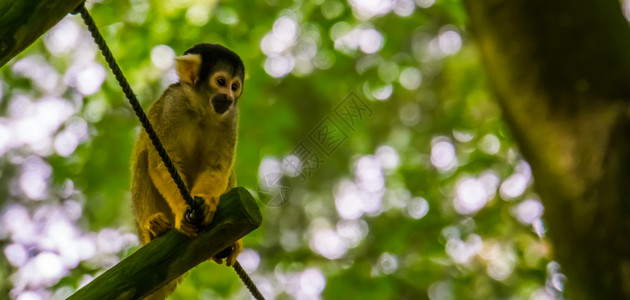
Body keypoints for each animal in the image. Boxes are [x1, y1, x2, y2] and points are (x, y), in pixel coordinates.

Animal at [131, 43, 244, 298]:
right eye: (221, 82)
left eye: (235, 86)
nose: (229, 97)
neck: (201, 108)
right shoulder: (174, 104)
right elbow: (160, 162)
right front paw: (184, 209)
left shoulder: (232, 116)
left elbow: (218, 167)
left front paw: (207, 201)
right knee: (145, 158)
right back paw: (154, 227)